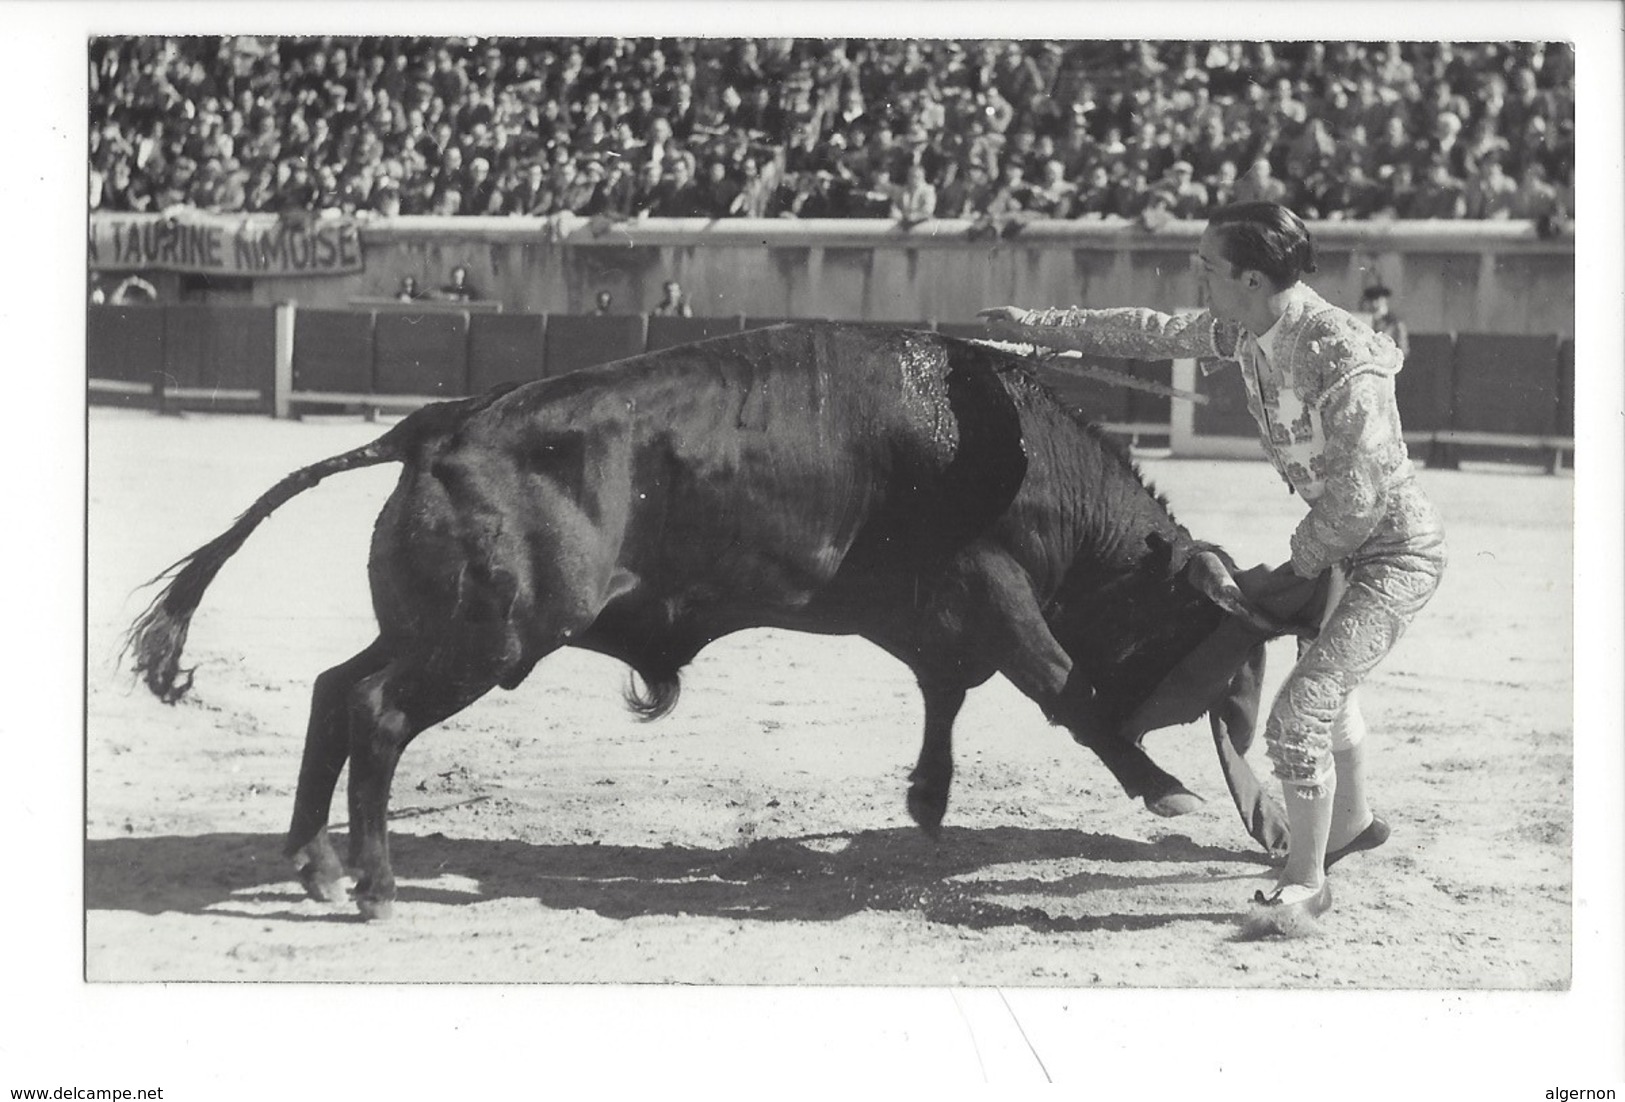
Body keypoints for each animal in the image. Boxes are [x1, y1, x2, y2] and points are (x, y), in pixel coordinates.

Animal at [123, 321, 1293, 923]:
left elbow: (947, 691)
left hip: (440, 625)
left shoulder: (928, 614)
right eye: (1211, 654)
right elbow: (1063, 687)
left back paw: (311, 862)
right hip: (490, 638)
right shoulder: (991, 587)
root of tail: (441, 423)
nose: (1265, 811)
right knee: (372, 710)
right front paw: (1164, 788)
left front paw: (925, 799)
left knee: (334, 689)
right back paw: (369, 883)